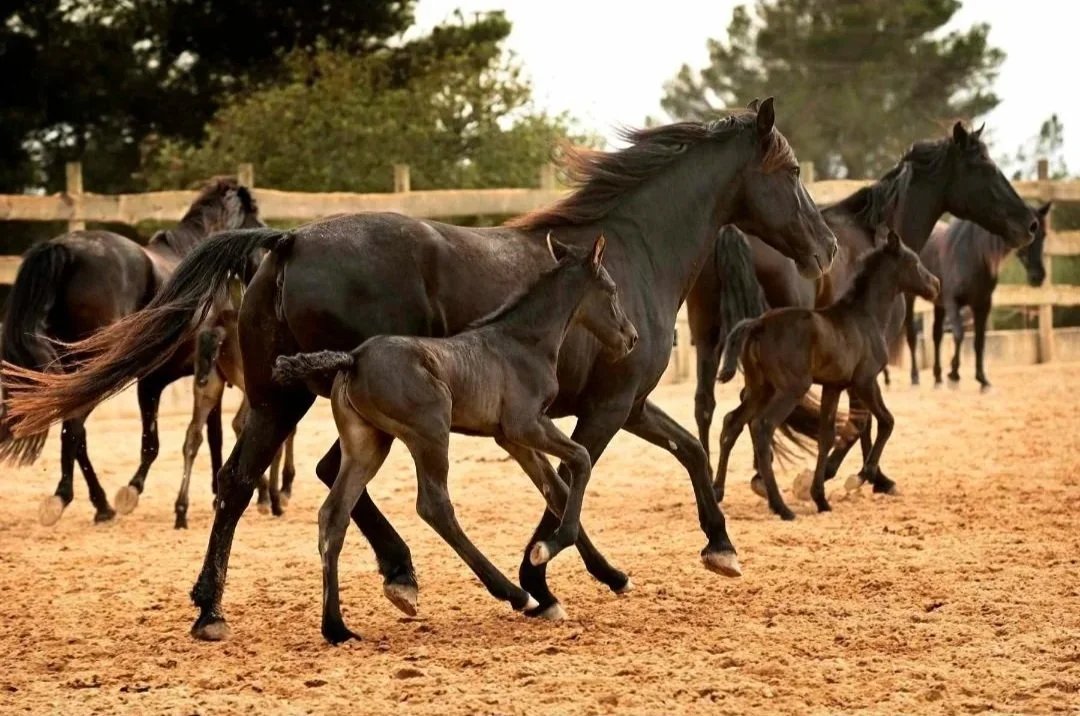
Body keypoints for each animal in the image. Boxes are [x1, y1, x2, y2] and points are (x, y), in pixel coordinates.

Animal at [0, 177, 262, 525]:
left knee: (76, 433)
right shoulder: (171, 378)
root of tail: (64, 248)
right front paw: (136, 491)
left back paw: (100, 505)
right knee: (74, 428)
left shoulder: (170, 379)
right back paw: (65, 497)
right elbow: (167, 441)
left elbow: (205, 435)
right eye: (254, 216)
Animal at [272, 234, 637, 644]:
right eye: (611, 290)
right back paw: (515, 595)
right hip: (430, 430)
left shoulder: (512, 439)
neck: (523, 342)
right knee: (435, 507)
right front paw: (546, 551)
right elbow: (581, 460)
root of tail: (352, 359)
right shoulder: (525, 424)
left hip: (368, 445)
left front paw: (614, 576)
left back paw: (336, 628)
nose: (631, 338)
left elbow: (556, 490)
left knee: (333, 516)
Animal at [714, 230, 940, 520]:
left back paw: (718, 491)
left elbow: (826, 436)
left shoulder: (834, 386)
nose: (935, 285)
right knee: (762, 426)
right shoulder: (865, 382)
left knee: (733, 422)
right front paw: (864, 474)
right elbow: (885, 421)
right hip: (790, 390)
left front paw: (820, 498)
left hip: (760, 389)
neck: (865, 317)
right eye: (914, 262)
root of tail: (758, 324)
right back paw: (781, 507)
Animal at [906, 202, 1051, 391]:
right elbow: (959, 335)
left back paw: (937, 379)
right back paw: (915, 377)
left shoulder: (982, 305)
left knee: (936, 335)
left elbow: (979, 341)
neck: (974, 255)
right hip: (910, 297)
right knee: (911, 334)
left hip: (938, 304)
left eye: (1044, 234)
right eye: (1030, 232)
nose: (1038, 277)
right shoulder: (953, 302)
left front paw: (982, 380)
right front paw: (954, 375)